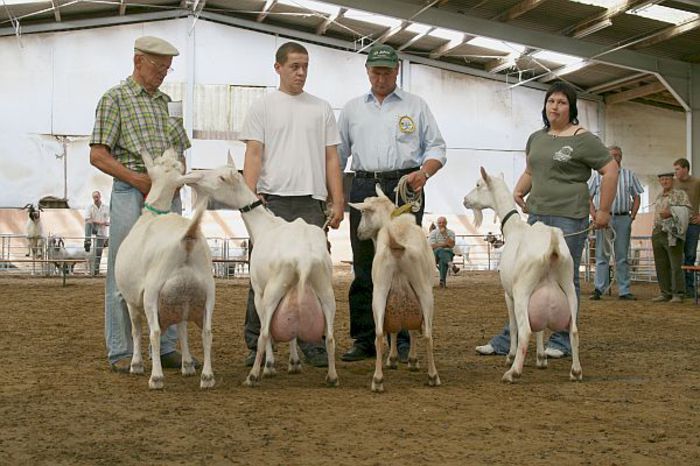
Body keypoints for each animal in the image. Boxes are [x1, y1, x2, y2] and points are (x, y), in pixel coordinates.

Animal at [115, 148, 216, 390]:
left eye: (159, 161)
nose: (173, 150)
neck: (152, 214)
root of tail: (188, 236)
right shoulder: (182, 302)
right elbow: (182, 331)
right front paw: (187, 365)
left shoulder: (131, 297)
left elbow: (136, 330)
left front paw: (136, 364)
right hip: (209, 290)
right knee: (207, 332)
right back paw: (207, 377)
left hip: (152, 291)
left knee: (154, 332)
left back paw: (156, 378)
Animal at [183, 158, 340, 388]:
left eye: (220, 177)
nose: (192, 177)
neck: (265, 225)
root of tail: (304, 258)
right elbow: (292, 327)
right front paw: (294, 363)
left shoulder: (259, 290)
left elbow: (269, 332)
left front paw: (270, 366)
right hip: (324, 288)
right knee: (329, 336)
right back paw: (332, 376)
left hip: (273, 291)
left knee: (264, 333)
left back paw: (254, 375)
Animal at [348, 186, 440, 394]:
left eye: (363, 212)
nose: (358, 233)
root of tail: (396, 244)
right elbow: (412, 329)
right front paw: (410, 360)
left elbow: (395, 329)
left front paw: (394, 358)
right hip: (424, 291)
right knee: (428, 334)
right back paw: (433, 376)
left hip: (379, 291)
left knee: (379, 334)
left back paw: (377, 380)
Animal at [462, 167, 584, 382]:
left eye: (478, 184)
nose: (465, 200)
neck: (514, 227)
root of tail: (552, 246)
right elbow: (540, 328)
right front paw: (541, 358)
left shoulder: (508, 294)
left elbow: (513, 327)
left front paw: (510, 356)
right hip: (568, 286)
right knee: (574, 330)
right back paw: (576, 371)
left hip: (522, 291)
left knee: (525, 330)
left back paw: (513, 372)